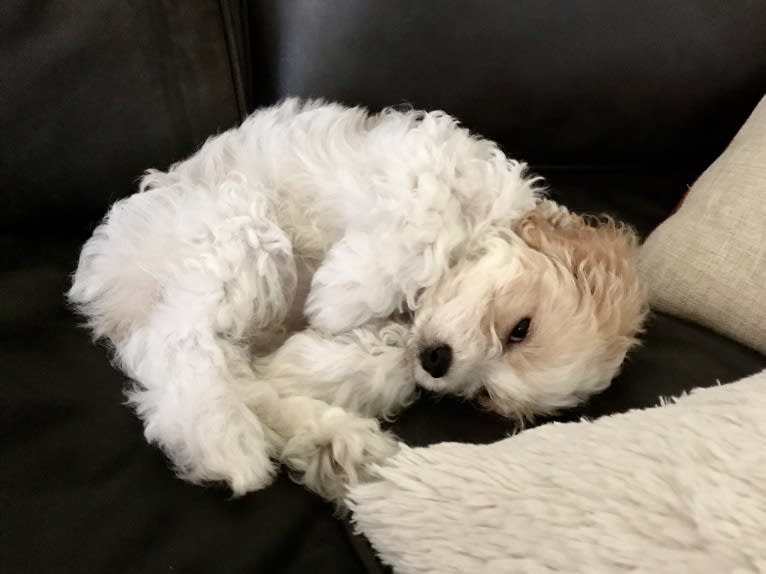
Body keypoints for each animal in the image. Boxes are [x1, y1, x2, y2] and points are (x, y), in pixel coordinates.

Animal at [70, 100, 648, 504]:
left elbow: (381, 360)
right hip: (234, 227)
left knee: (226, 367)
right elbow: (425, 223)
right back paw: (222, 438)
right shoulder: (430, 165)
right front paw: (339, 295)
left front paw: (307, 361)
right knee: (177, 344)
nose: (438, 362)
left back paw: (333, 443)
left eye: (485, 396)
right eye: (520, 328)